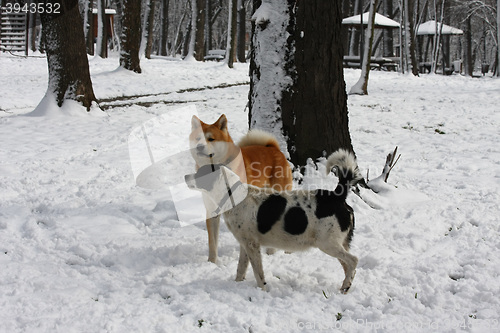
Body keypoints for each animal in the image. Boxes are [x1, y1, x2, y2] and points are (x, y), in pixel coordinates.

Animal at [186, 149, 362, 292]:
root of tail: (337, 196)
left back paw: (346, 286)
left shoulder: (252, 245)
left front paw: (262, 291)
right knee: (347, 266)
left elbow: (259, 273)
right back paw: (345, 287)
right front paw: (237, 285)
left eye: (200, 173)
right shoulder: (245, 244)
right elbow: (241, 269)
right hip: (337, 244)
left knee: (353, 261)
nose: (185, 176)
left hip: (328, 244)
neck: (234, 195)